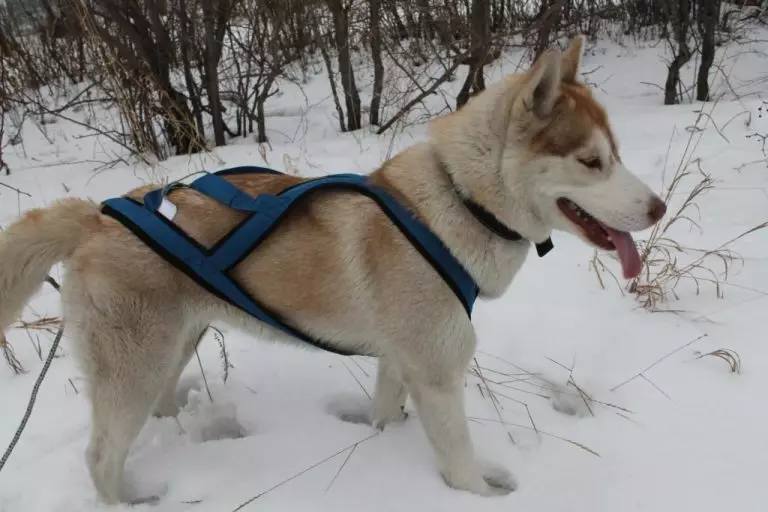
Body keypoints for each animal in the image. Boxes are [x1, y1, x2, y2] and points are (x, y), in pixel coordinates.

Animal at [0, 37, 664, 504]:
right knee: (101, 457)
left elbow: (385, 416)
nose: (658, 208)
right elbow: (461, 466)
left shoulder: (400, 363)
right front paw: (478, 492)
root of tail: (95, 215)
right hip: (133, 369)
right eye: (591, 161)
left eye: (616, 154)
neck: (454, 202)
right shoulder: (438, 375)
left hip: (174, 349)